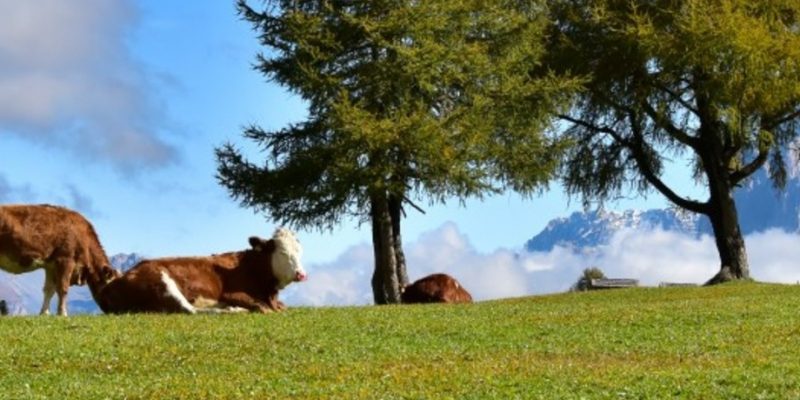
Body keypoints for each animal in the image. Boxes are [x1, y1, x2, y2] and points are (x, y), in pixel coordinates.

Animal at [97, 227, 304, 314]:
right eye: (283, 252)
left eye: (299, 250)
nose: (301, 274)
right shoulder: (232, 293)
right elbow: (262, 307)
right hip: (162, 283)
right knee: (190, 310)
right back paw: (232, 310)